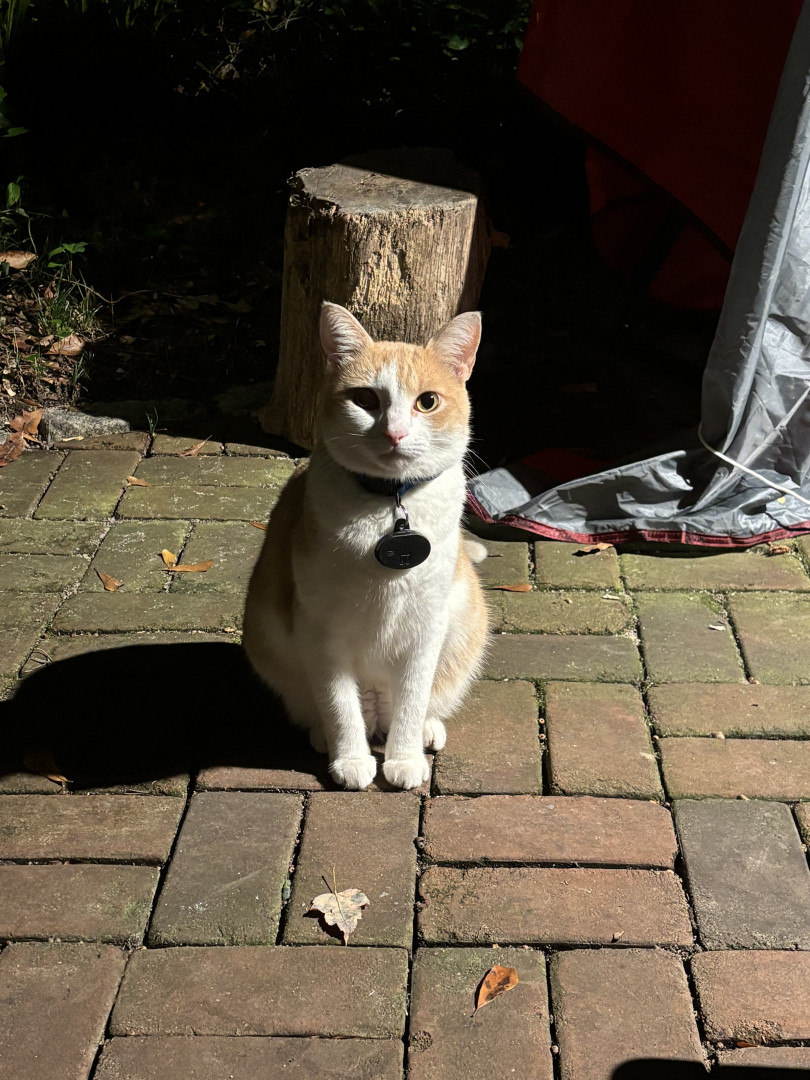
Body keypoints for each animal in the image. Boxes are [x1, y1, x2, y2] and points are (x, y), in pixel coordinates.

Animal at [242, 301, 489, 790]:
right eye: (366, 400)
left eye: (427, 401)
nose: (395, 433)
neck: (389, 505)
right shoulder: (319, 631)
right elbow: (338, 704)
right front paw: (352, 759)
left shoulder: (426, 628)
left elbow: (413, 699)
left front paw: (405, 757)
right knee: (324, 705)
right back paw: (329, 734)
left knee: (414, 705)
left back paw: (423, 730)